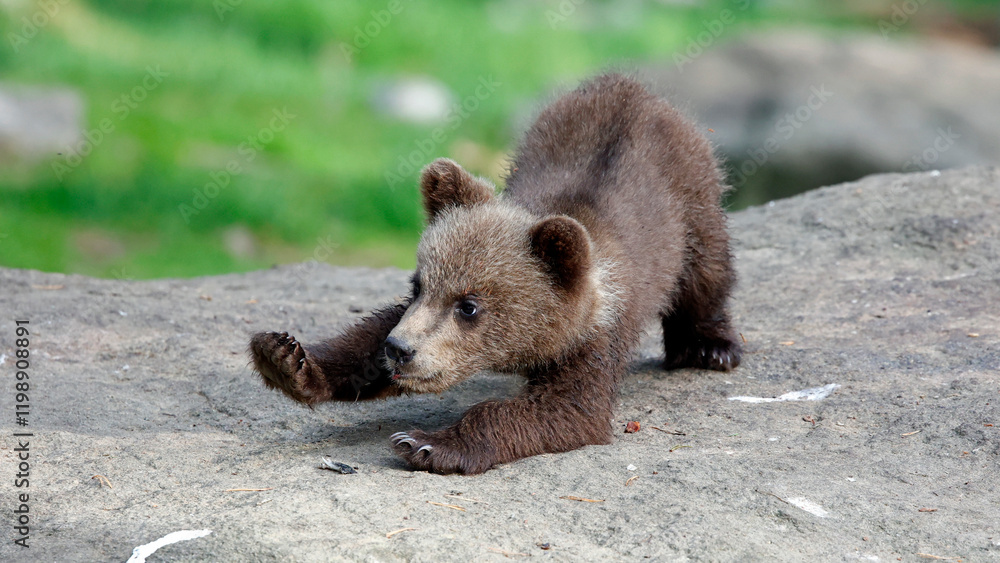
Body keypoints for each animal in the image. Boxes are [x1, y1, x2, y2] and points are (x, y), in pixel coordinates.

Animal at [249, 73, 741, 475]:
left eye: (469, 306)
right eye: (418, 284)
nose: (400, 350)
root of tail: (634, 88)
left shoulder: (593, 338)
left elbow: (565, 410)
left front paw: (427, 443)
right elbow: (368, 334)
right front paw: (285, 357)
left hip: (692, 198)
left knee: (706, 273)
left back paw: (709, 347)